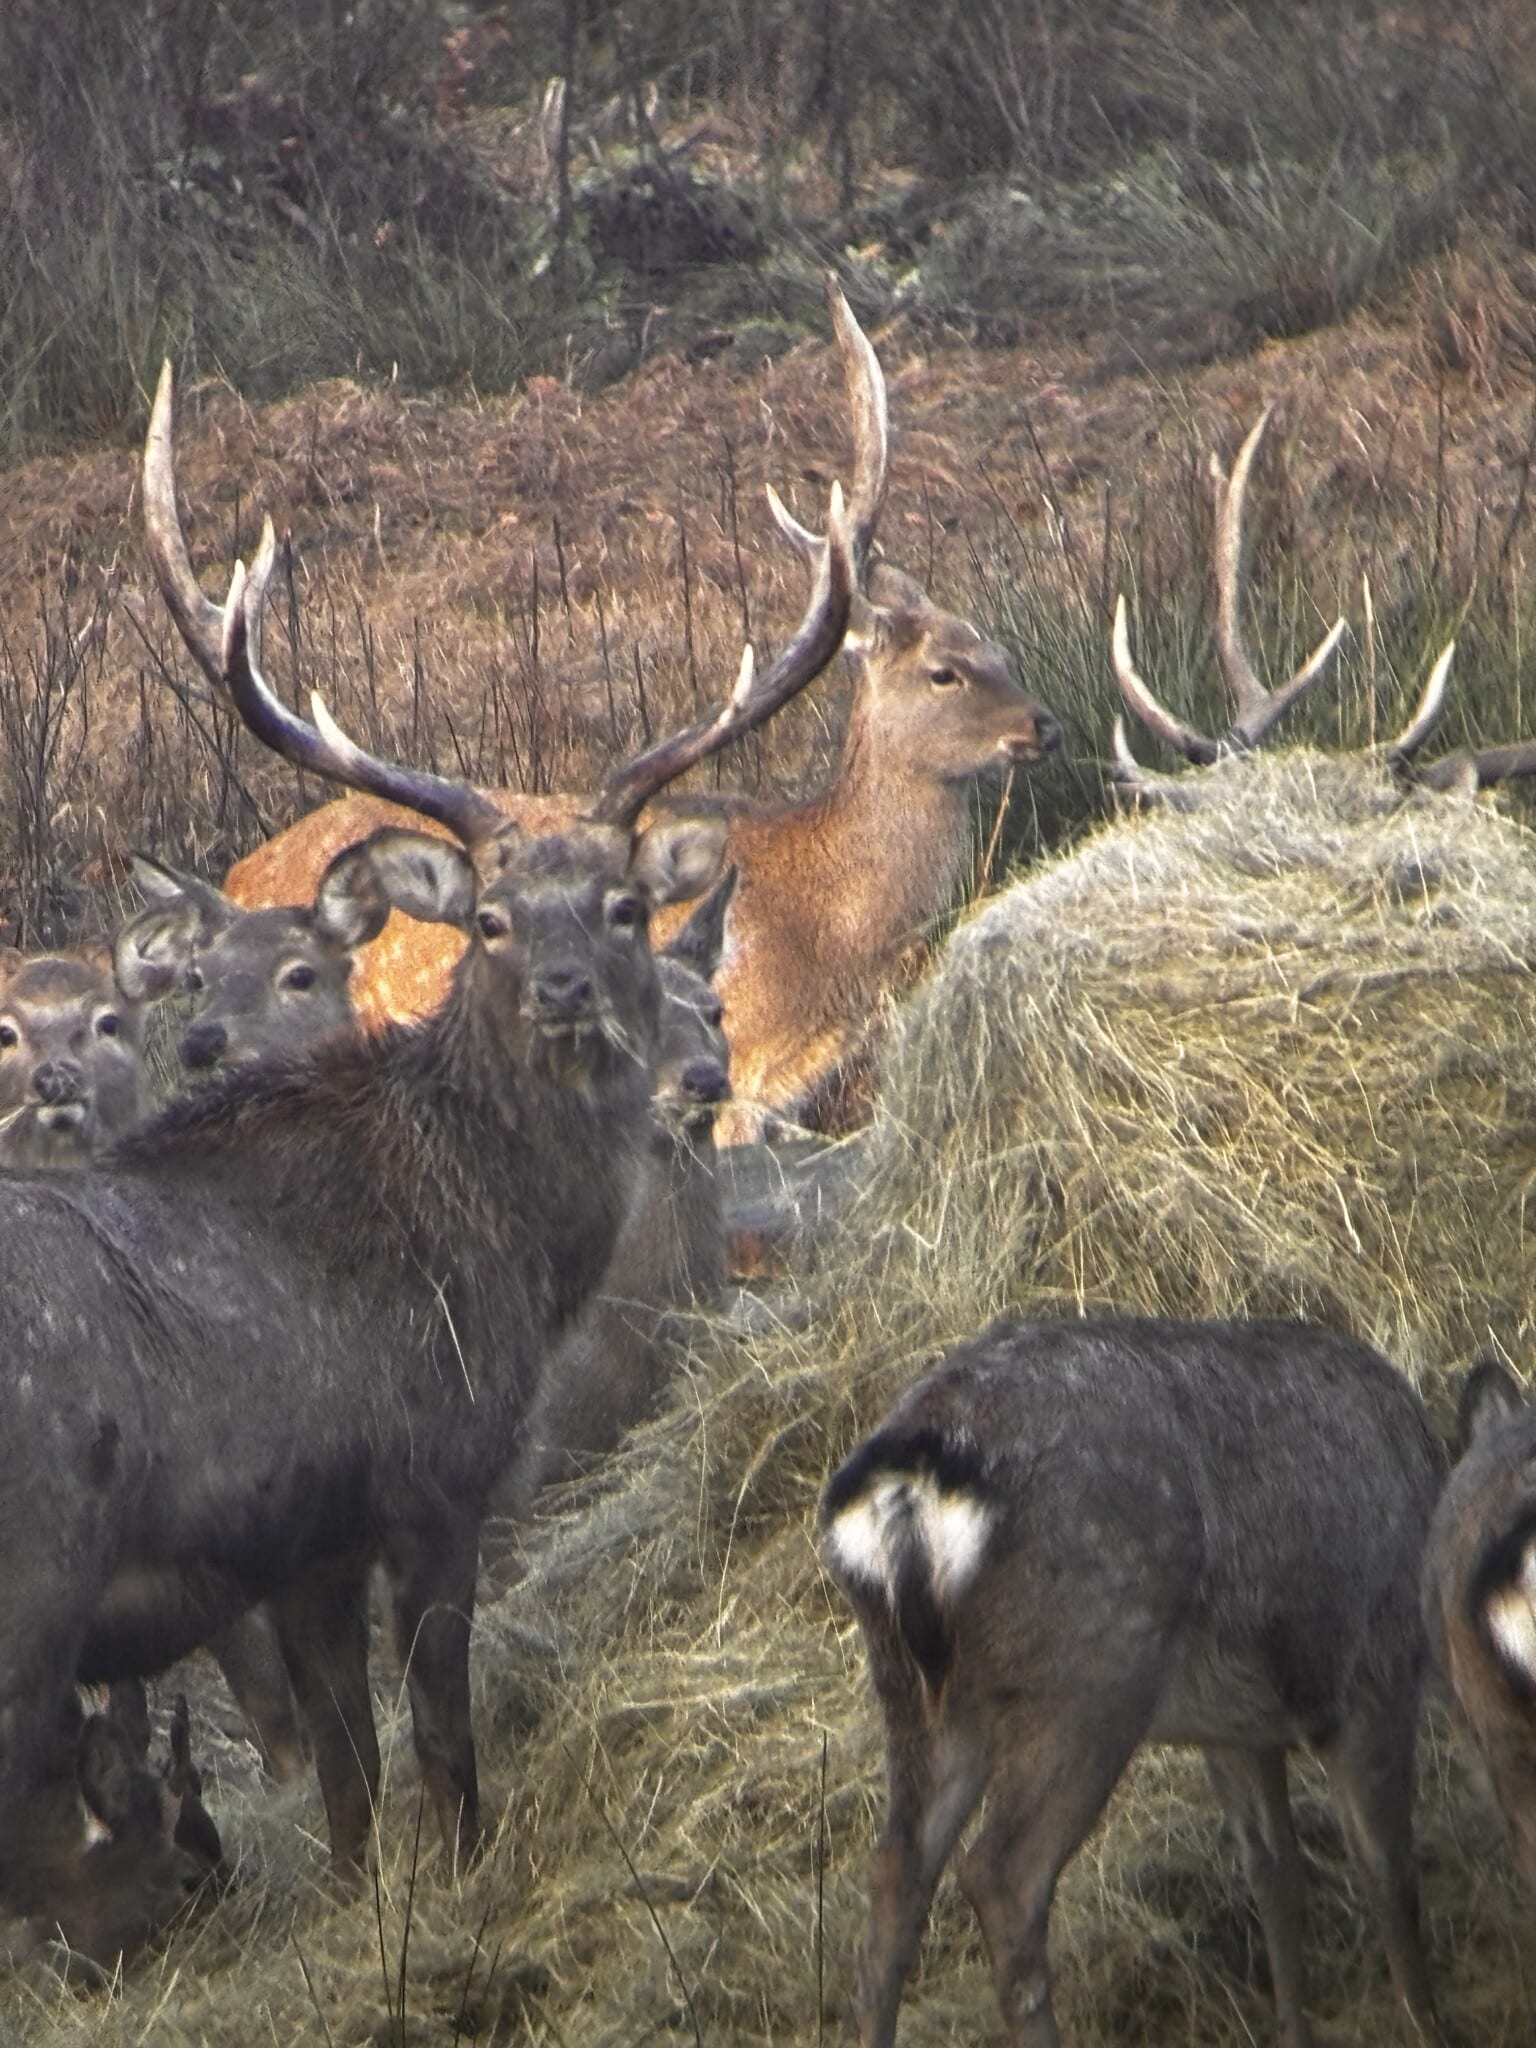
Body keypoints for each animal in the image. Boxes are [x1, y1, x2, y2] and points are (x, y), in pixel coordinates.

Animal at [0, 440, 851, 1940]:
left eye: (624, 904)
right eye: (490, 919)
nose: (567, 989)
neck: (494, 1233)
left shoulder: (306, 1542)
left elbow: (350, 1782)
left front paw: (362, 1916)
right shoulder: (435, 1472)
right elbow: (444, 1745)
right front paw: (461, 1901)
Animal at [142, 277, 1062, 1138]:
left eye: (999, 649)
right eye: (944, 673)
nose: (1044, 725)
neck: (831, 929)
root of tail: (231, 880)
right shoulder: (739, 1081)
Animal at [821, 1316, 1446, 2048]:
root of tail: (908, 1487)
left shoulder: (1237, 1726)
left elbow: (1276, 1869)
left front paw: (1294, 2029)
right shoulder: (1375, 1674)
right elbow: (1387, 1870)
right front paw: (1429, 2026)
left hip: (916, 1692)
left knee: (896, 1872)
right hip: (1089, 1673)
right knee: (1002, 1875)